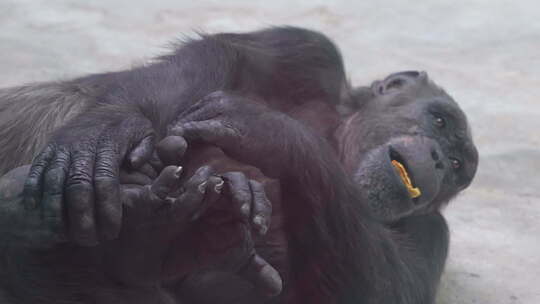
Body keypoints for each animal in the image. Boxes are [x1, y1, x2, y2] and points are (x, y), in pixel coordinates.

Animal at [0, 26, 476, 304]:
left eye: (458, 165)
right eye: (439, 120)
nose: (439, 158)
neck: (340, 141)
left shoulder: (432, 234)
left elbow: (390, 292)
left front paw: (273, 133)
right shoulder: (310, 50)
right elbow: (228, 53)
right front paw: (109, 128)